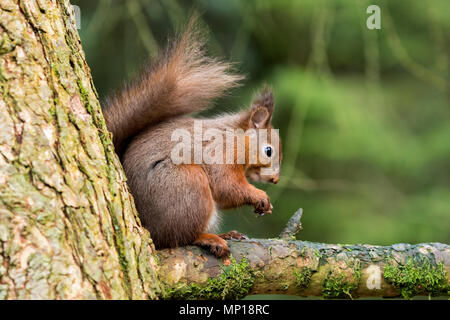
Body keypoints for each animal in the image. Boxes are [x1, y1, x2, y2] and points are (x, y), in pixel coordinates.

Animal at [102, 20, 282, 258]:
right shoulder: (221, 151)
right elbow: (226, 186)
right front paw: (260, 195)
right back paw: (209, 238)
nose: (276, 180)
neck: (236, 136)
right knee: (180, 237)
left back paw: (227, 234)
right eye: (268, 151)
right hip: (188, 186)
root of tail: (148, 226)